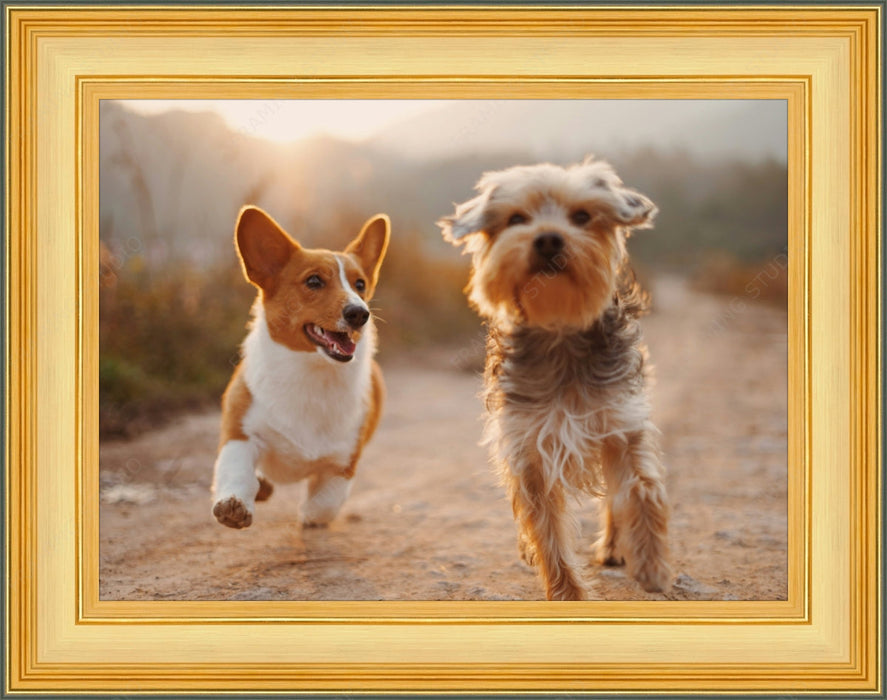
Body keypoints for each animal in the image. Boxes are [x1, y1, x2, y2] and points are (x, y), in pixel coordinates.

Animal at [213, 208, 390, 532]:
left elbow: (325, 503)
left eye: (360, 285)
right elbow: (236, 471)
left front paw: (310, 515)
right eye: (314, 281)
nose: (360, 314)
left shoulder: (343, 461)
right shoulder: (240, 433)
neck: (312, 372)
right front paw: (234, 505)